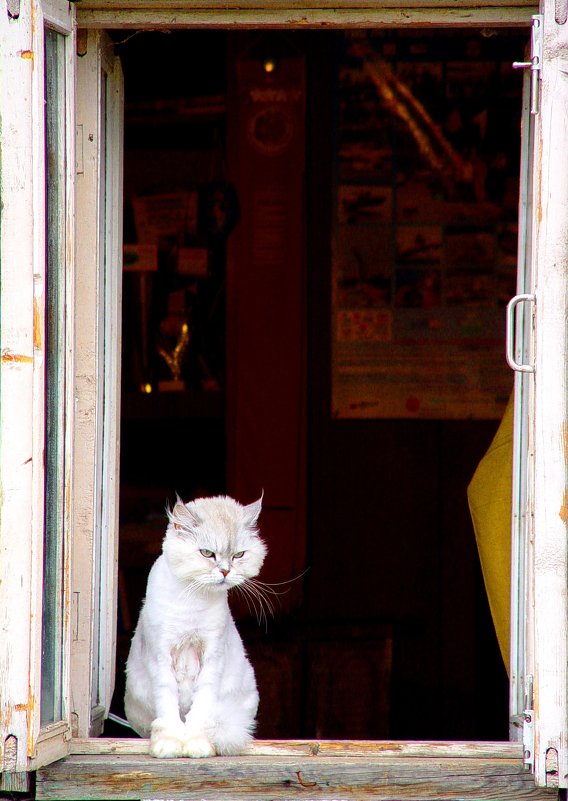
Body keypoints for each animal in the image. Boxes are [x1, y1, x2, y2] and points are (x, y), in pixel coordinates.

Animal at [124, 490, 266, 760]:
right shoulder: (162, 656)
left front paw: (196, 745)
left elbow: (200, 710)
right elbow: (168, 708)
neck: (193, 599)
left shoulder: (211, 657)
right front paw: (169, 745)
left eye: (238, 555)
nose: (225, 571)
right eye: (207, 553)